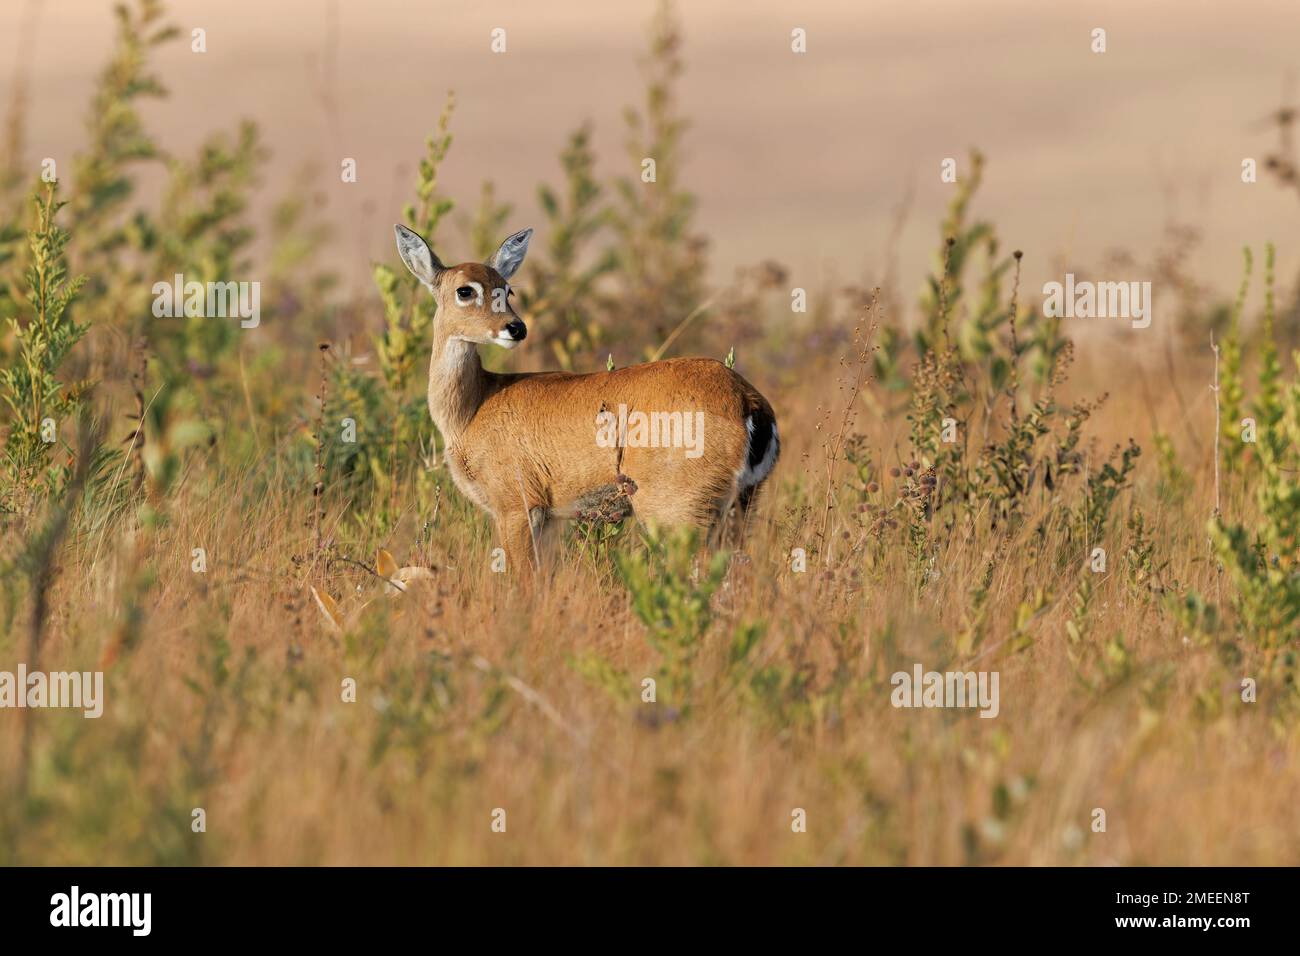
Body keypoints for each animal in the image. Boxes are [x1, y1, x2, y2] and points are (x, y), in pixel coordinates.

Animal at [395, 221, 774, 572]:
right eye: (465, 290)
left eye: (507, 289)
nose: (516, 328)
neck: (474, 407)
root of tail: (747, 400)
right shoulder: (549, 518)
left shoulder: (518, 508)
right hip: (740, 507)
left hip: (680, 515)